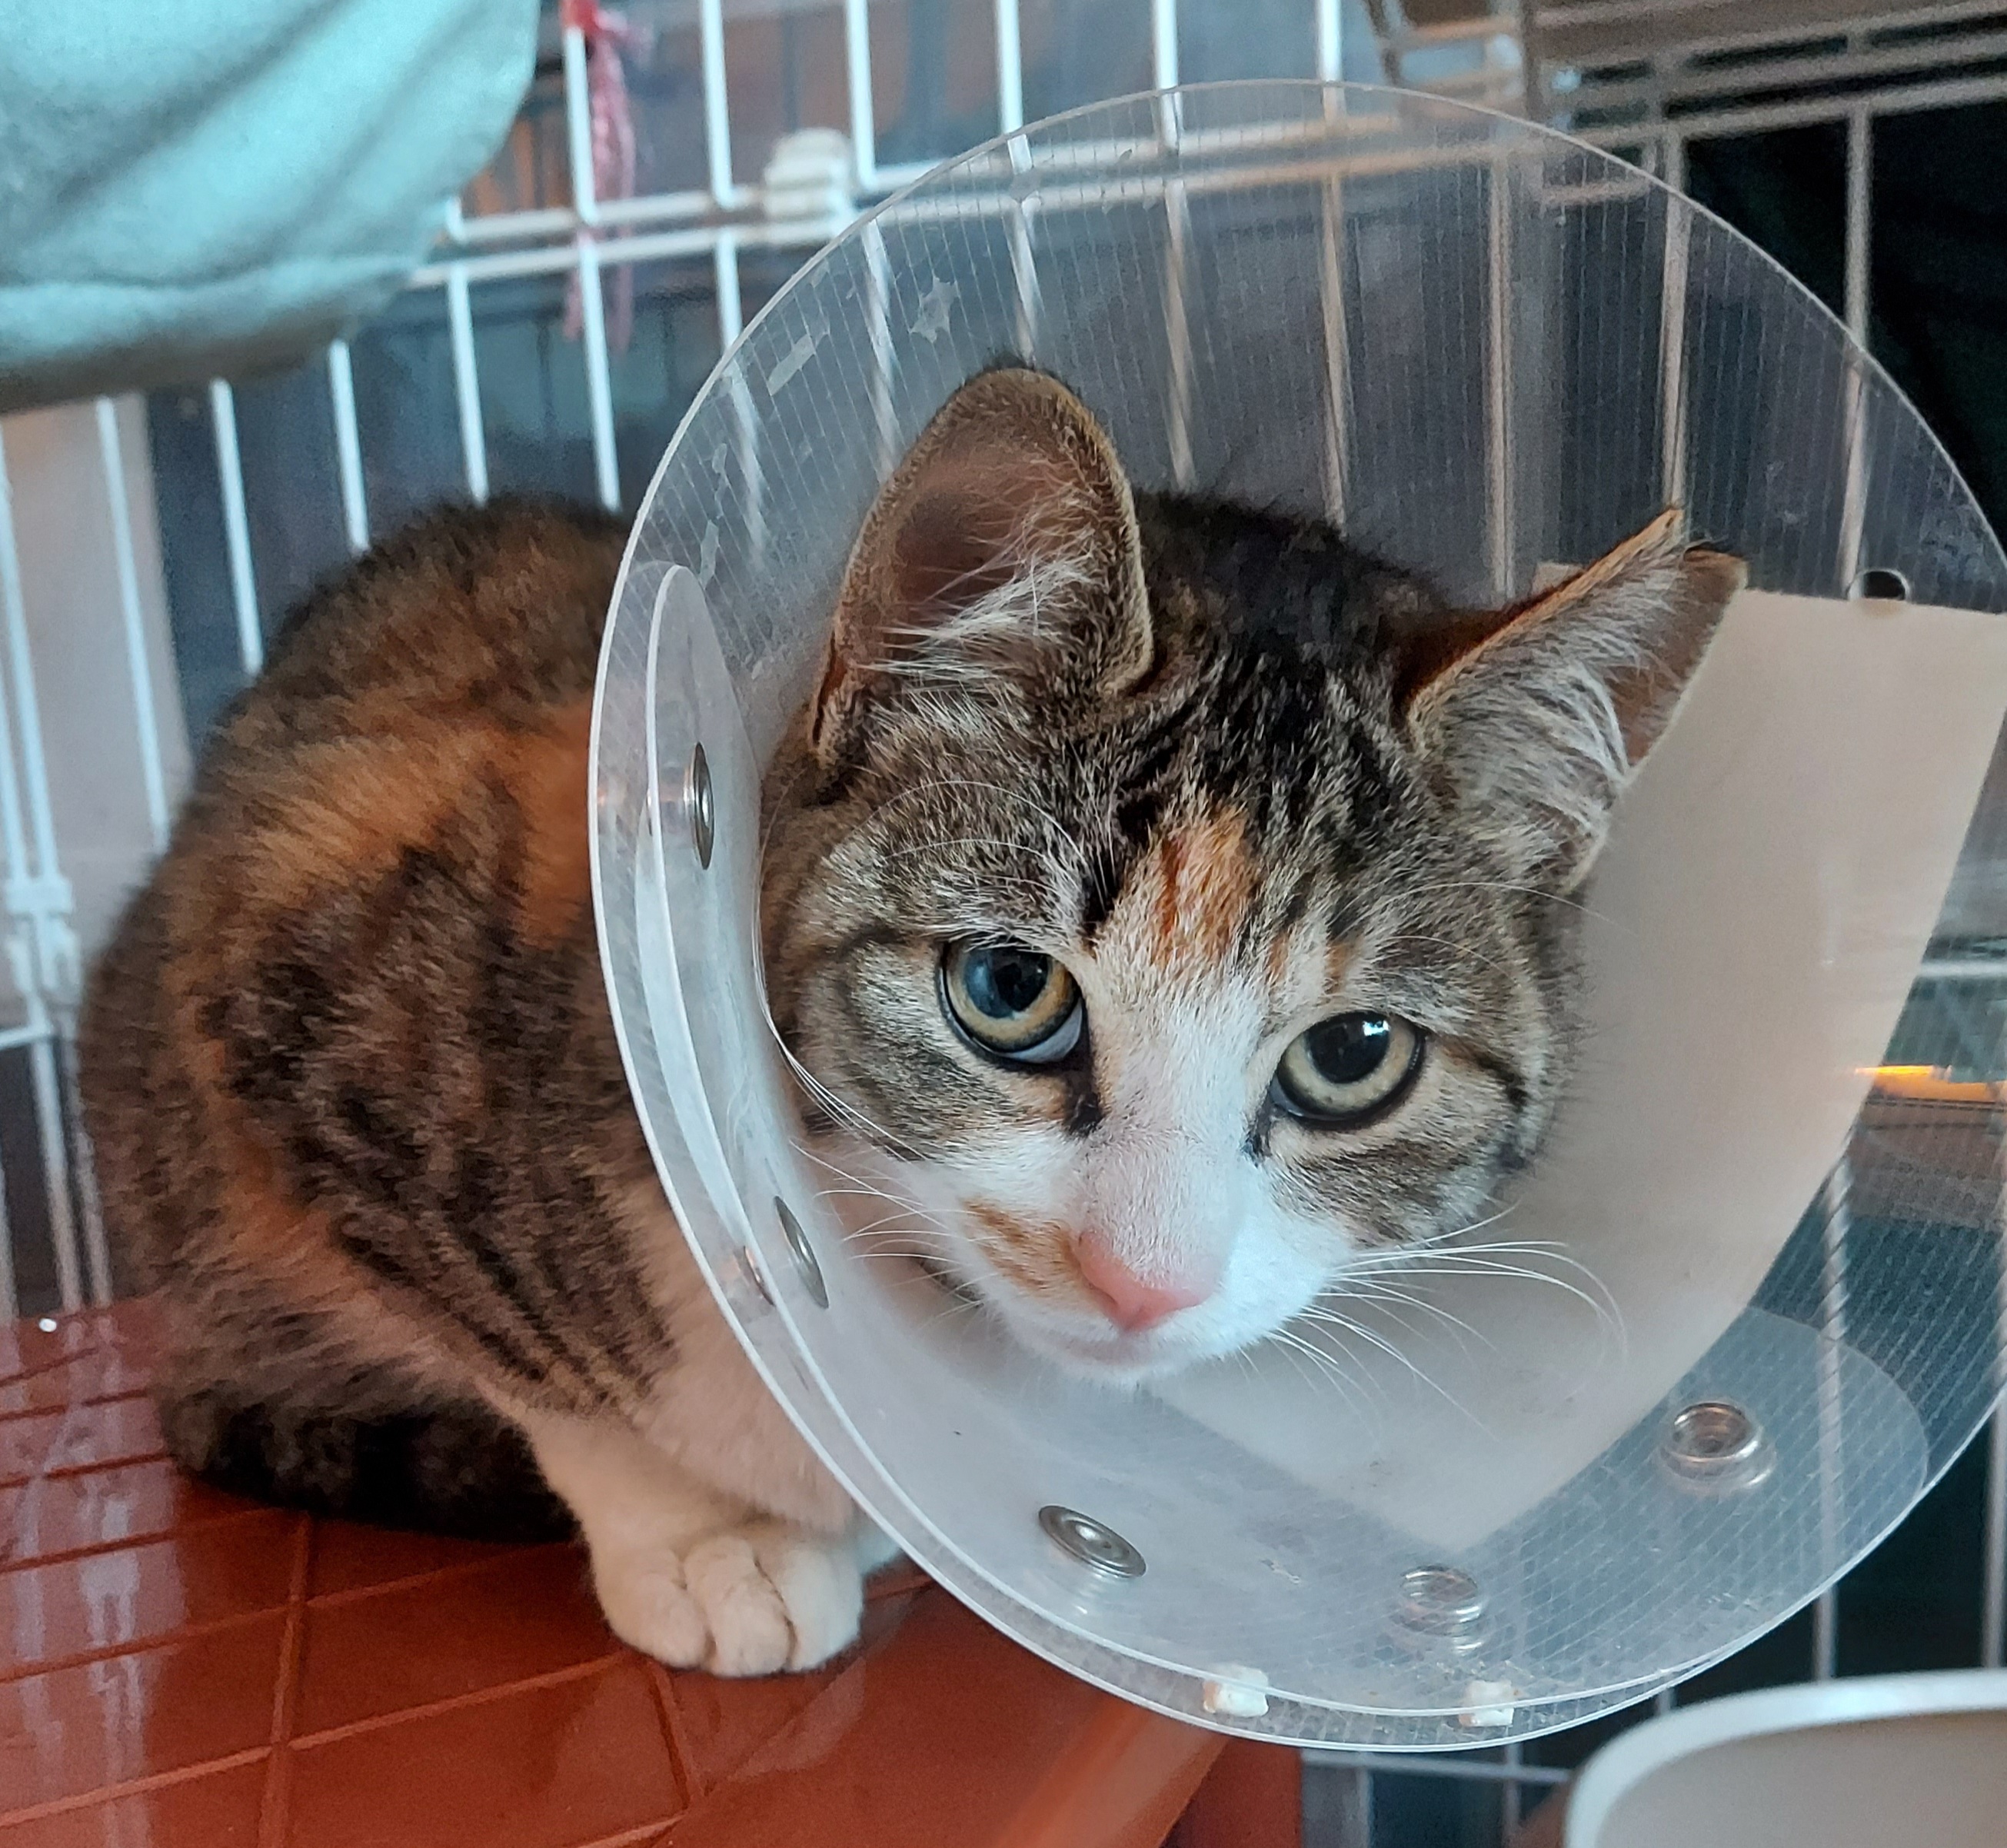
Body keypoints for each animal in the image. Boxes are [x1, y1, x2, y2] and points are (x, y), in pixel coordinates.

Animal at [78, 366, 1742, 1677]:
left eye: (1352, 1056)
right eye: (1009, 990)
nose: (1142, 1279)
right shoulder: (303, 965)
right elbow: (553, 1369)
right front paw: (704, 1538)